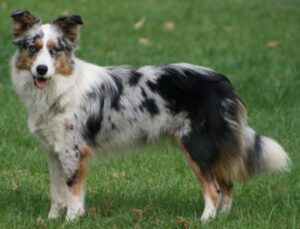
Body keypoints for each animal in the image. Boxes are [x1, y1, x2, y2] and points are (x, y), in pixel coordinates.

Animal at [10, 10, 290, 222]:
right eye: (32, 49)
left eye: (55, 51)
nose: (41, 70)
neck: (60, 88)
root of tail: (223, 82)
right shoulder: (54, 152)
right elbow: (57, 193)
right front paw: (51, 220)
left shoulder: (73, 151)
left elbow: (73, 193)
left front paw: (71, 220)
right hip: (212, 149)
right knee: (227, 186)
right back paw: (222, 219)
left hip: (197, 146)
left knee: (214, 188)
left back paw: (205, 220)